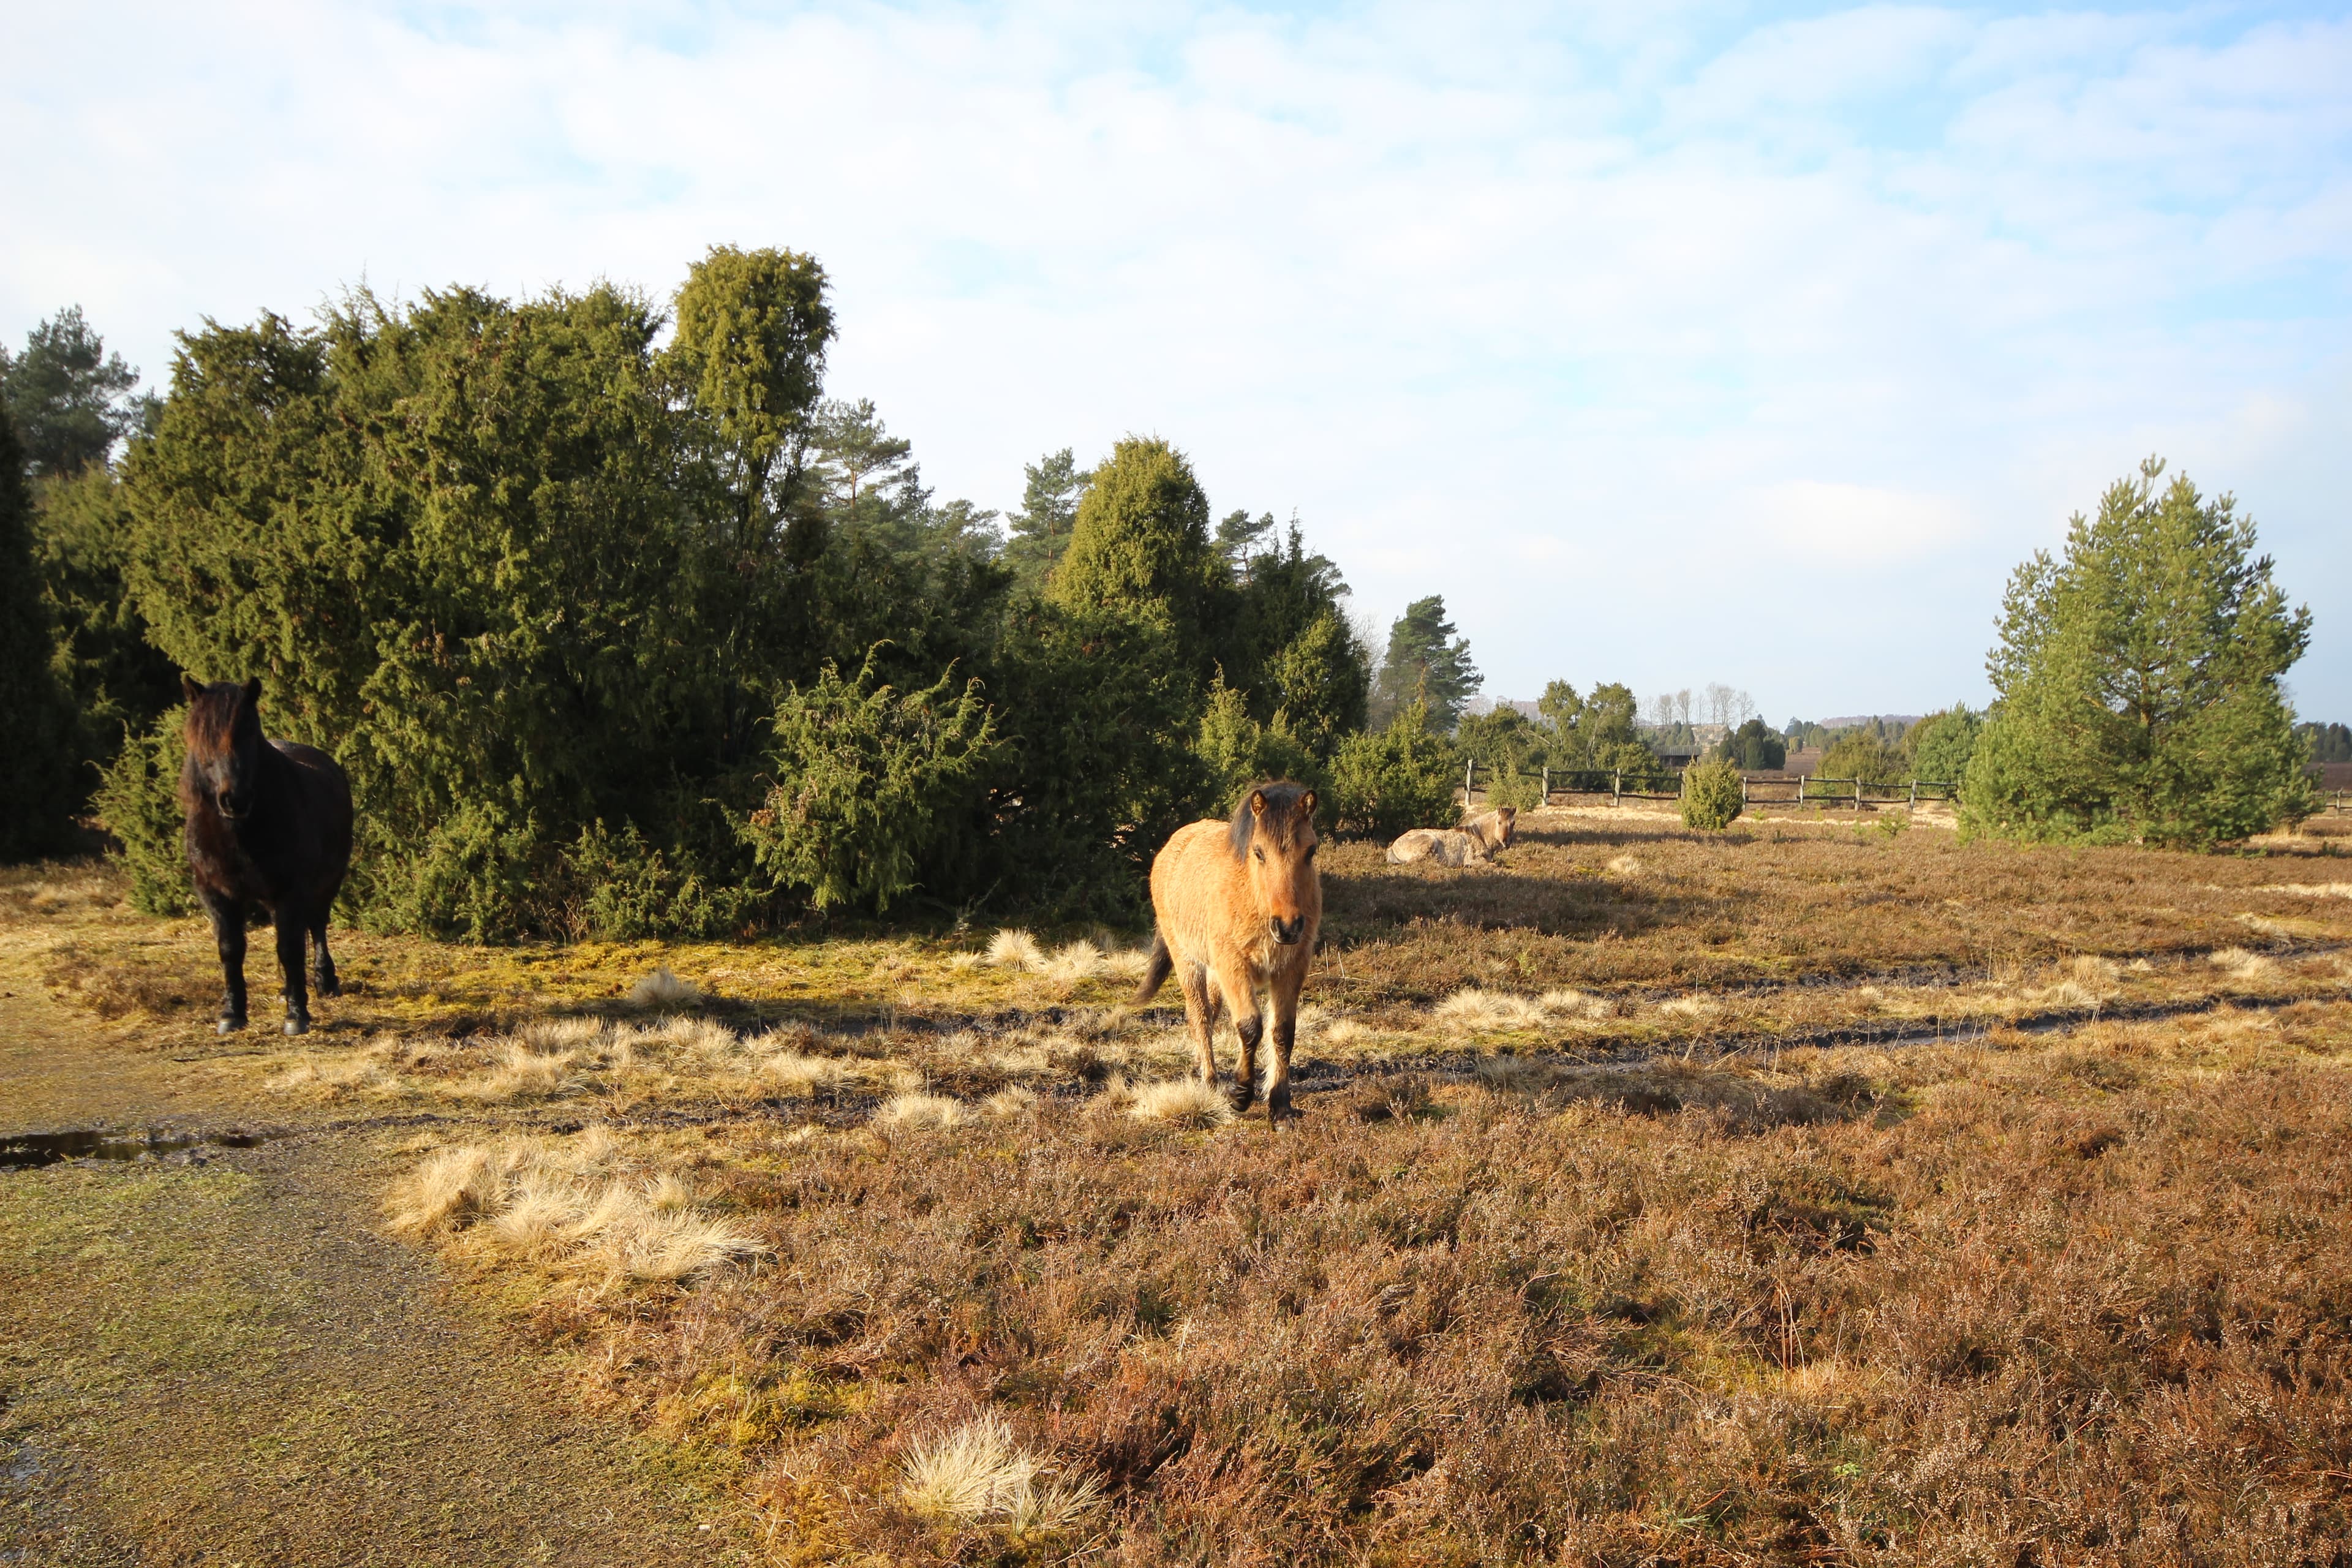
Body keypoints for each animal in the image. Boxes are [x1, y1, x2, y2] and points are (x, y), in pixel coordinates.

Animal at [181, 677, 355, 1034]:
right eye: (201, 736)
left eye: (249, 731)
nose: (234, 799)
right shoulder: (215, 892)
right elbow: (231, 948)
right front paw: (232, 1013)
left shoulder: (292, 890)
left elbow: (290, 948)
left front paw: (297, 1016)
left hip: (327, 882)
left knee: (316, 926)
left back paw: (324, 981)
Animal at [1138, 780, 1326, 1123]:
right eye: (1259, 852)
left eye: (1311, 851)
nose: (1288, 927)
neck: (1253, 897)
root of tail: (1171, 847)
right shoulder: (1234, 967)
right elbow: (1250, 1026)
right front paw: (1240, 1094)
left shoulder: (1291, 969)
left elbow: (1282, 1032)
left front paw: (1281, 1106)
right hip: (1188, 961)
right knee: (1199, 1016)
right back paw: (1211, 1080)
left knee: (1211, 1014)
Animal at [1373, 809, 1524, 870]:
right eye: (1499, 822)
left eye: (1513, 823)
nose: (1507, 842)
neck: (1479, 836)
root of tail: (1393, 846)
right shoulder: (1474, 859)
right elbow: (1495, 865)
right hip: (1430, 842)